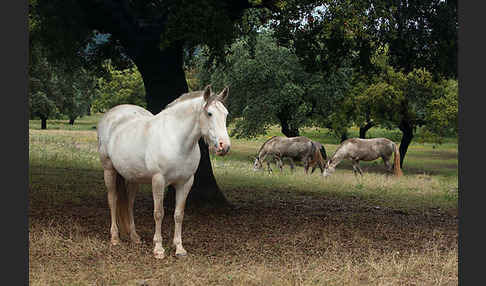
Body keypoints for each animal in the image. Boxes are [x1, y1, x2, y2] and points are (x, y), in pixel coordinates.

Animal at [98, 85, 231, 260]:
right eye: (209, 113)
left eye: (226, 114)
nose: (224, 146)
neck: (176, 140)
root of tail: (111, 114)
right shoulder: (158, 181)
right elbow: (159, 213)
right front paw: (158, 249)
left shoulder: (185, 183)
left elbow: (179, 214)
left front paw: (179, 248)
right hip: (109, 171)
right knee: (112, 200)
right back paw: (114, 238)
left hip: (132, 178)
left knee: (129, 203)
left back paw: (134, 237)